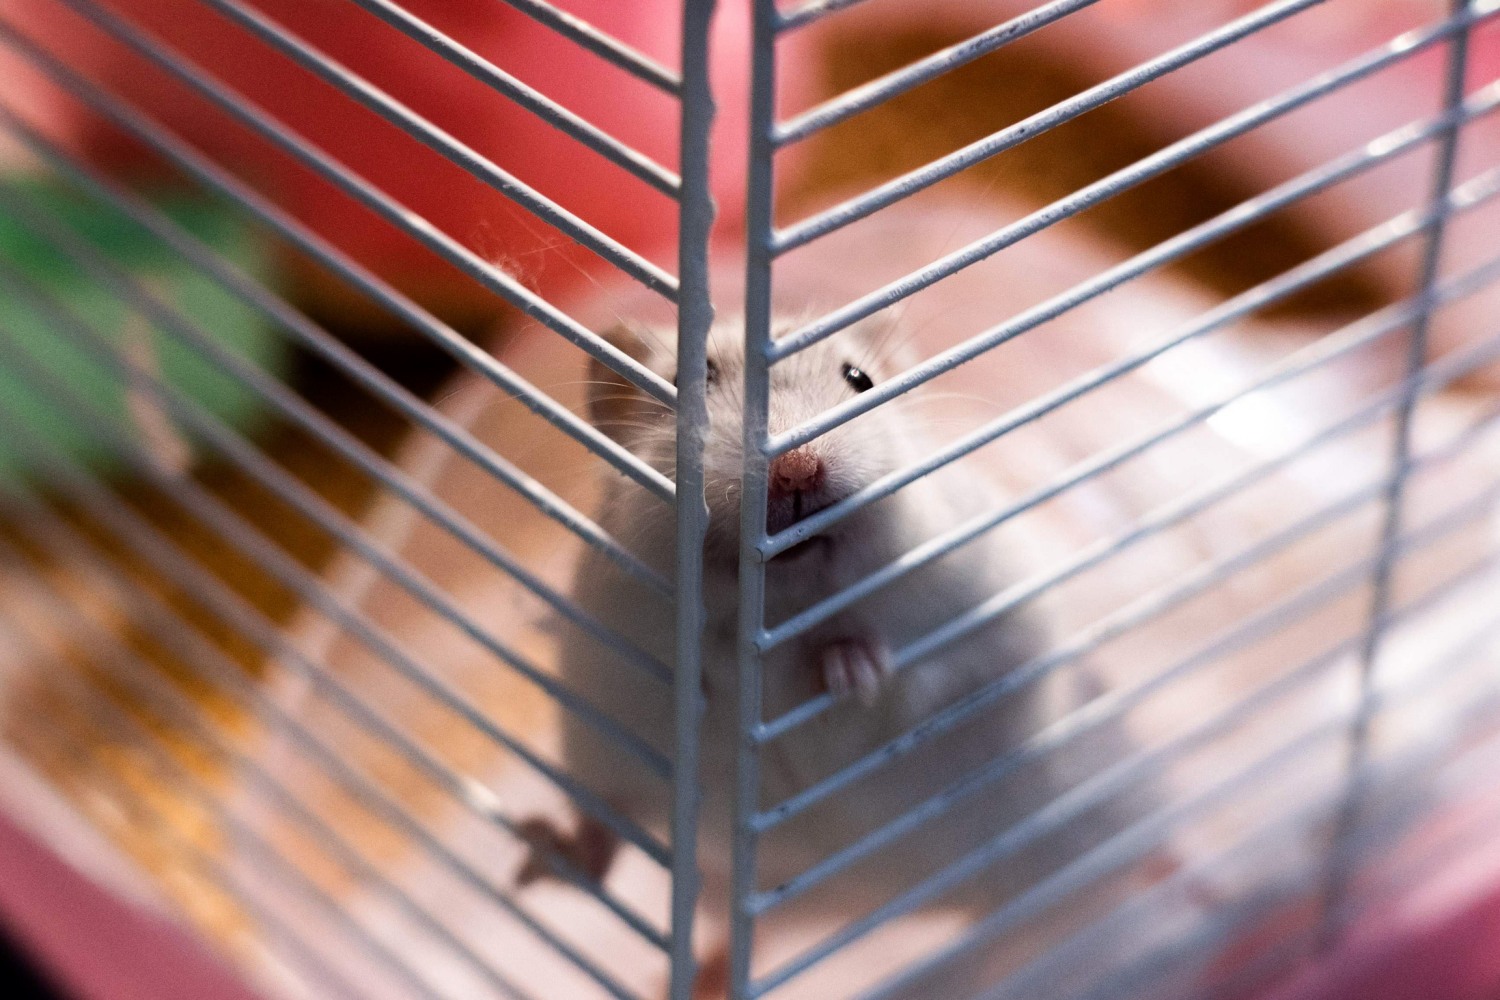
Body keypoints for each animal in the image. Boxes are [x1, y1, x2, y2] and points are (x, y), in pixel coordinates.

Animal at [522, 316, 1152, 995]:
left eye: (860, 380)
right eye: (691, 381)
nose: (795, 470)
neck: (777, 609)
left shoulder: (976, 624)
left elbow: (903, 675)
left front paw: (852, 671)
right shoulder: (610, 668)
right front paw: (700, 692)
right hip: (608, 767)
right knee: (606, 833)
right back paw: (539, 863)